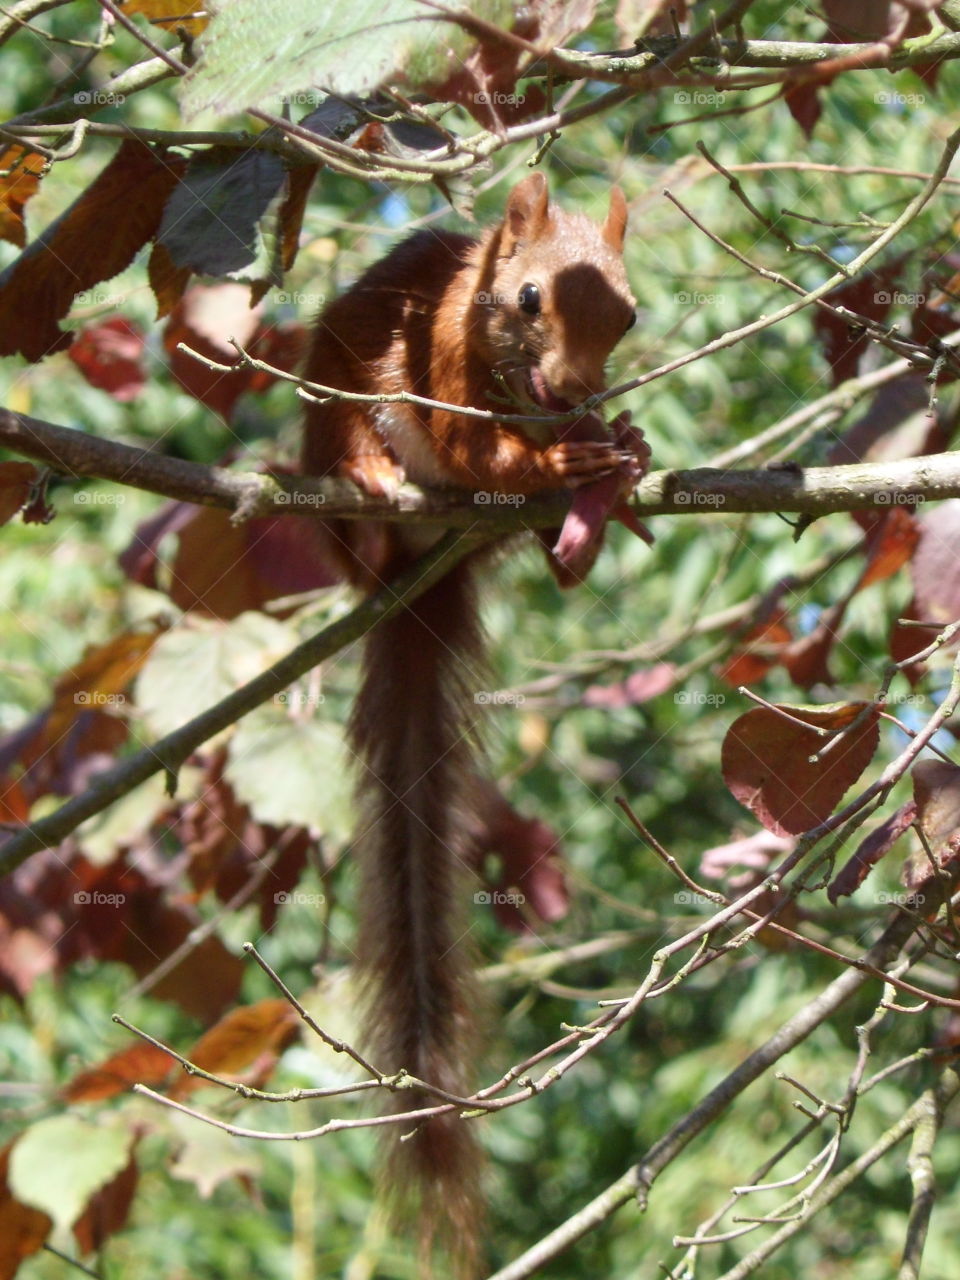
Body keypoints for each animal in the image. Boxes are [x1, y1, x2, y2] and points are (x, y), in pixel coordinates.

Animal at [300, 171, 647, 1270]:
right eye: (529, 298)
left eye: (631, 315)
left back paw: (586, 523)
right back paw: (368, 487)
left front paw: (620, 446)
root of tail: (415, 586)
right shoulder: (437, 349)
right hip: (336, 414)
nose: (574, 394)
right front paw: (567, 453)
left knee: (548, 556)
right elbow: (467, 444)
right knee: (362, 478)